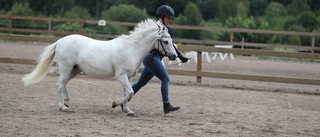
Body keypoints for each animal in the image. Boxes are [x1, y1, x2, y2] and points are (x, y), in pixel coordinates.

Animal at [21, 18, 178, 115]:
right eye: (165, 41)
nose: (173, 56)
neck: (130, 49)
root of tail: (60, 41)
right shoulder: (121, 76)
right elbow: (130, 93)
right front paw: (115, 103)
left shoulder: (128, 78)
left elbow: (128, 93)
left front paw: (127, 111)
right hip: (66, 68)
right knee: (59, 84)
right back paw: (62, 107)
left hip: (74, 70)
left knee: (63, 84)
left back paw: (67, 102)